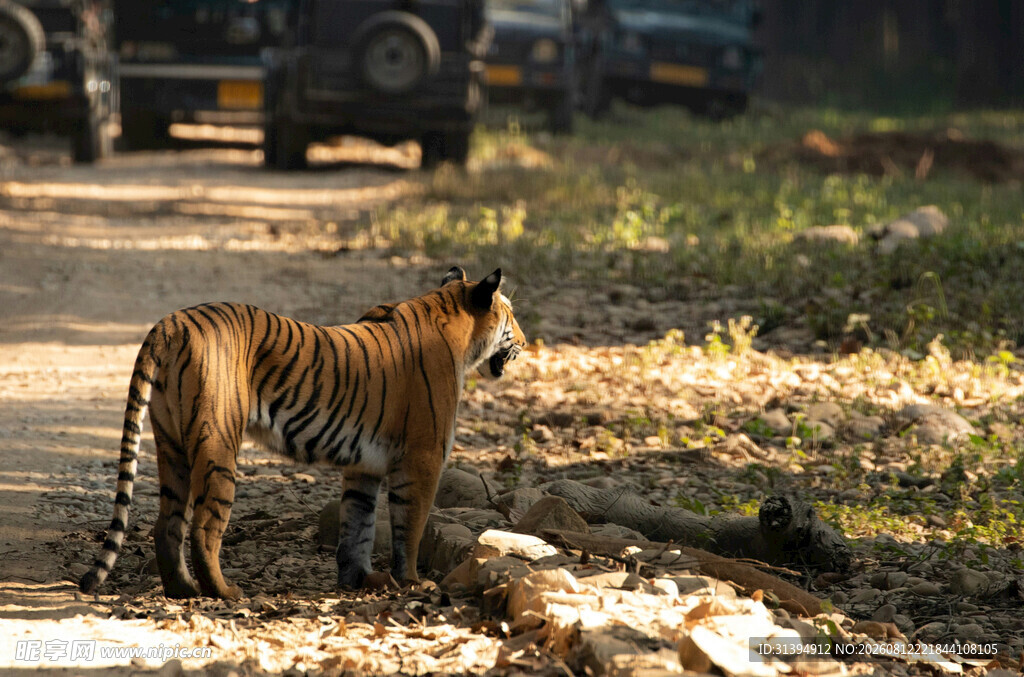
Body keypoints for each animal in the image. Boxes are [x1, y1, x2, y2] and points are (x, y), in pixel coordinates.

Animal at [79, 267, 526, 599]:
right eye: (511, 315)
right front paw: (413, 582)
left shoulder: (365, 466)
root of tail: (170, 323)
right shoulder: (423, 458)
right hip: (217, 445)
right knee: (204, 529)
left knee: (167, 524)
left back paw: (182, 589)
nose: (525, 341)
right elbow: (409, 528)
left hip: (172, 445)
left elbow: (358, 525)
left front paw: (359, 580)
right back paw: (225, 592)